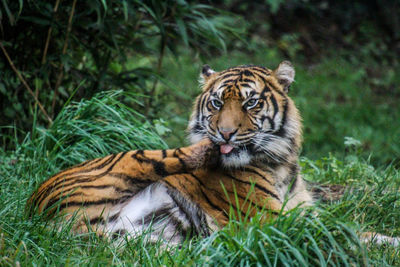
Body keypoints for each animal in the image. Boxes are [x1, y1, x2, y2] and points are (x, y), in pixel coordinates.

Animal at [27, 61, 316, 244]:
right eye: (217, 103)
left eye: (251, 103)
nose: (225, 133)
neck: (281, 165)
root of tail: (34, 212)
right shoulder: (268, 219)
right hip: (132, 158)